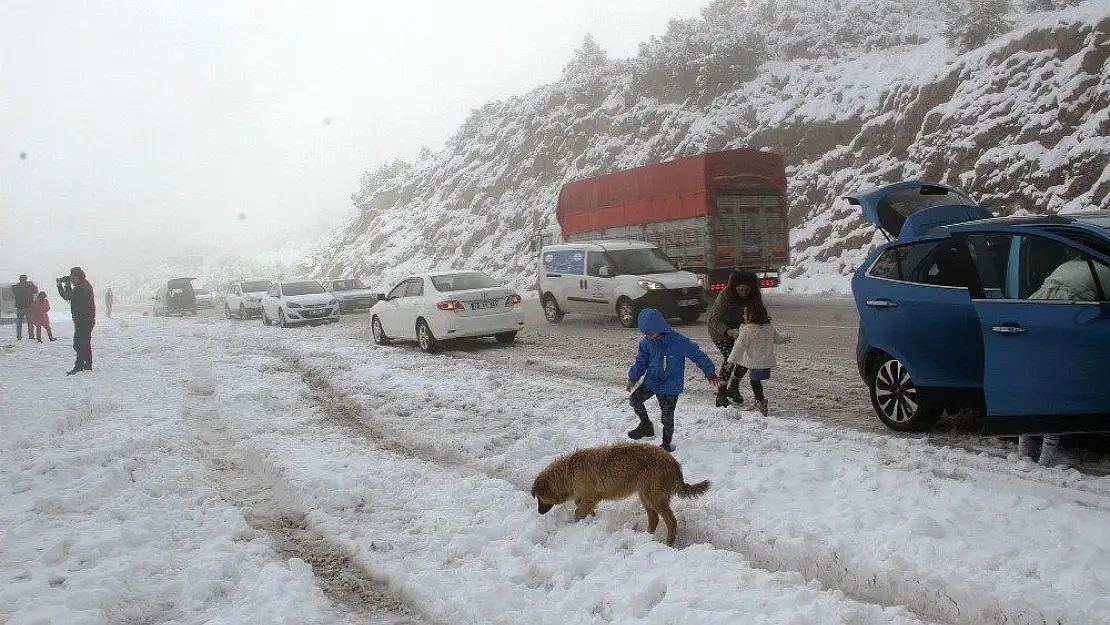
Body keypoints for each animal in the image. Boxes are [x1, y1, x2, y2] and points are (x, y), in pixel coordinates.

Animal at [530, 441, 710, 546]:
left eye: (539, 498)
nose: (539, 512)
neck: (567, 473)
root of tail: (673, 462)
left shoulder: (590, 496)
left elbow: (578, 512)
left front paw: (577, 525)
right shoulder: (586, 497)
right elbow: (581, 507)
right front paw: (591, 519)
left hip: (654, 497)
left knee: (671, 520)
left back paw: (669, 542)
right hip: (645, 495)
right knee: (654, 518)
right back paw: (646, 536)